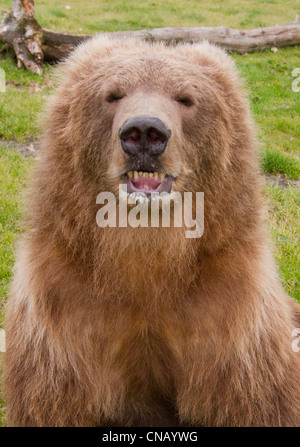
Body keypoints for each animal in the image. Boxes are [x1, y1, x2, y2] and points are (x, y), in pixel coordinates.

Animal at [2, 36, 300, 428]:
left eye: (185, 98)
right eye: (113, 94)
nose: (144, 133)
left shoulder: (230, 319)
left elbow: (251, 400)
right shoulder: (62, 315)